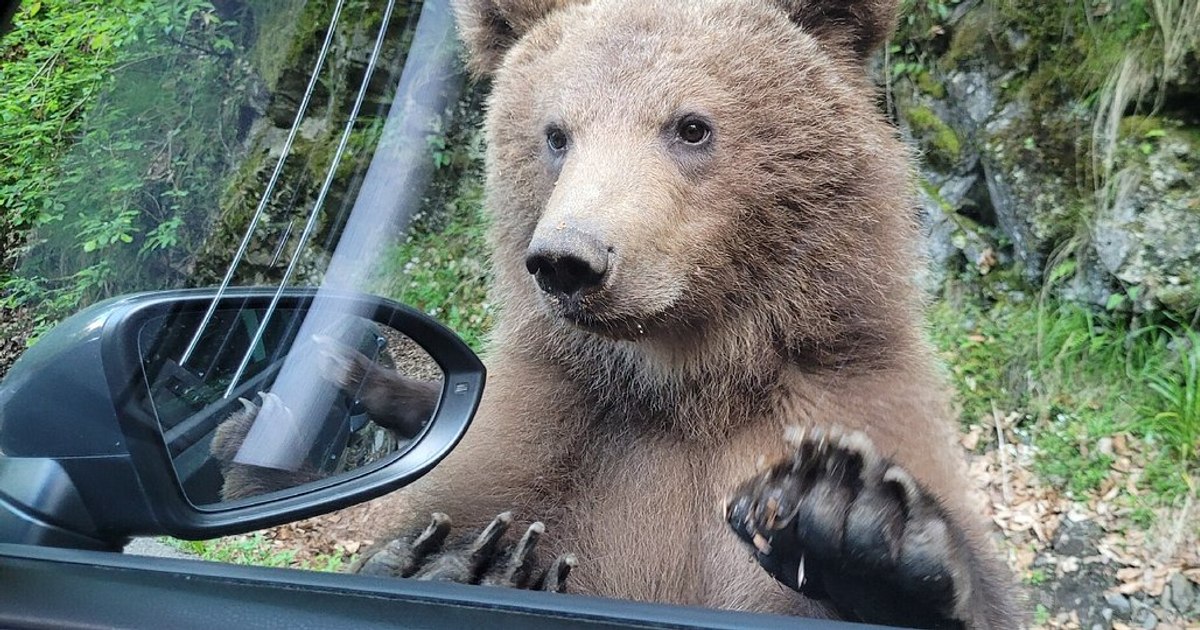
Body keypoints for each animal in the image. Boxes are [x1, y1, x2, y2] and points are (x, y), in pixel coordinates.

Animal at [212, 0, 1022, 626]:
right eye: (555, 133)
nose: (570, 260)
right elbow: (462, 514)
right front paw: (462, 563)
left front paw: (850, 520)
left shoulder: (847, 389)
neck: (688, 380)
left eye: (691, 125)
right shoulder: (557, 430)